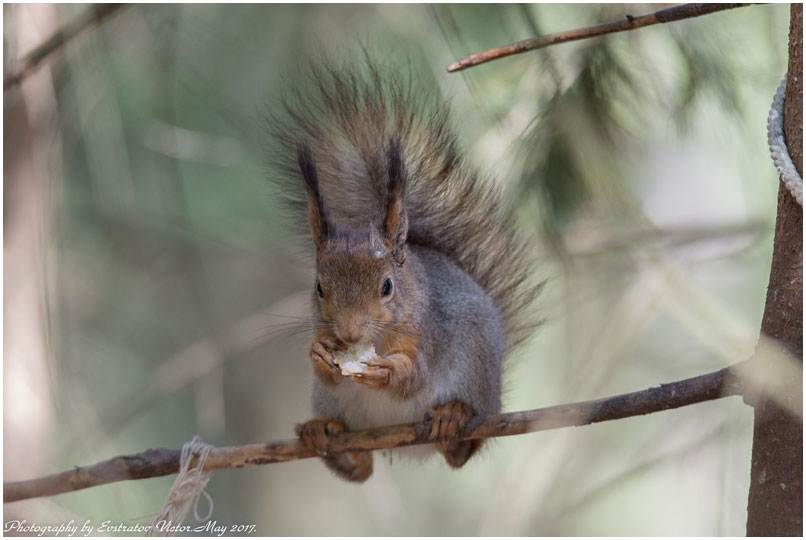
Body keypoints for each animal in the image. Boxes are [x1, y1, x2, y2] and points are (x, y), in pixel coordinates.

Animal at [270, 59, 540, 483]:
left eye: (387, 286)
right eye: (319, 288)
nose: (349, 333)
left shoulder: (427, 330)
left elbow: (416, 376)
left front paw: (389, 371)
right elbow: (323, 362)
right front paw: (319, 352)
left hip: (476, 373)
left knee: (460, 451)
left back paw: (453, 418)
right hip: (334, 405)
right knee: (361, 467)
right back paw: (323, 434)